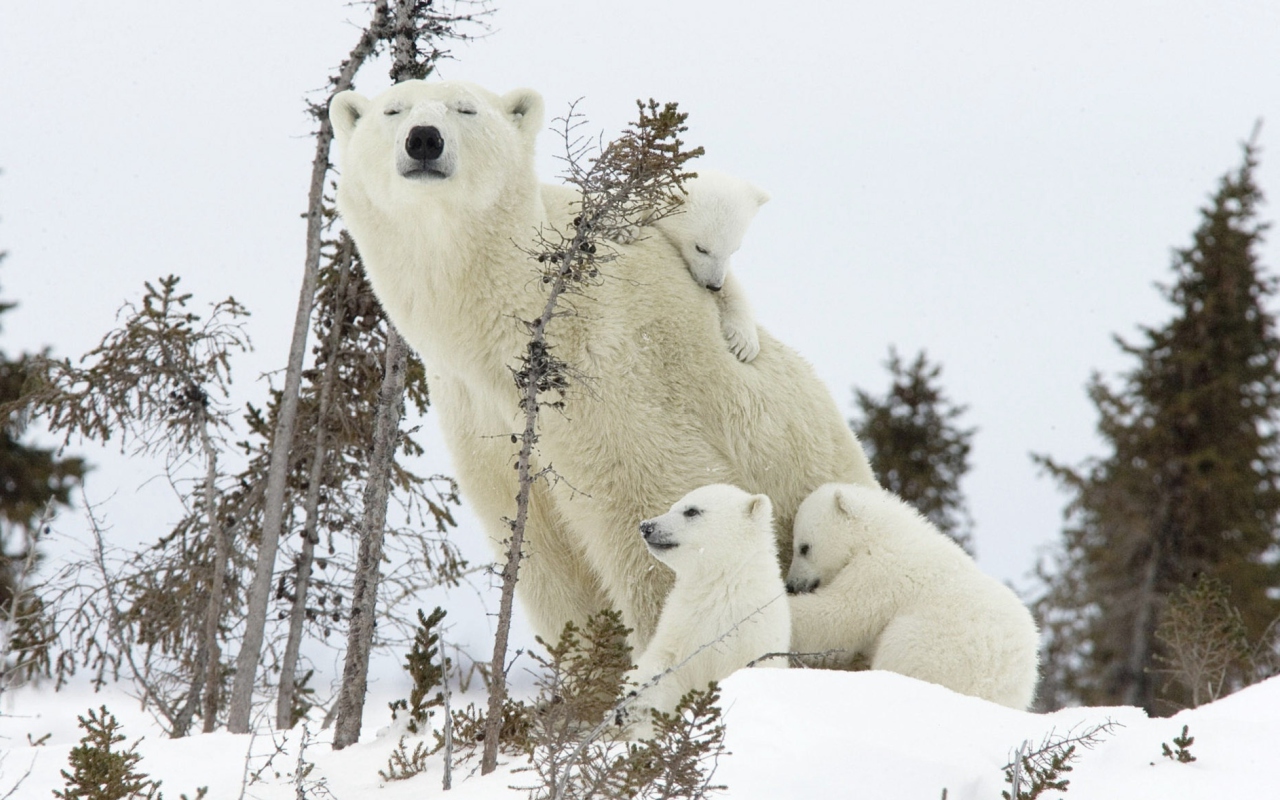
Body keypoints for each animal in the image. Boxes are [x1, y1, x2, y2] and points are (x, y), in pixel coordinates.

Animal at [611, 171, 762, 366]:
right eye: (701, 248)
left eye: (734, 250)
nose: (714, 286)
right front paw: (623, 227)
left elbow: (732, 289)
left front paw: (744, 345)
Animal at [622, 481, 788, 737]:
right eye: (673, 505)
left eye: (691, 511)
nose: (646, 526)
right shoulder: (682, 624)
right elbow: (665, 665)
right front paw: (633, 699)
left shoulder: (755, 636)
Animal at [783, 483, 1044, 706]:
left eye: (804, 547)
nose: (791, 585)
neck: (879, 532)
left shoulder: (881, 571)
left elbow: (840, 616)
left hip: (934, 647)